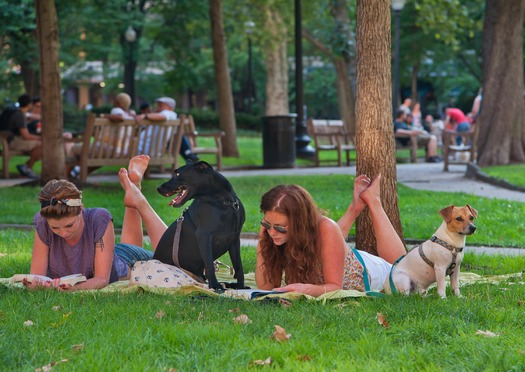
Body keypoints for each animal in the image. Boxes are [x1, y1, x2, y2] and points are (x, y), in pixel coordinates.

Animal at [154, 160, 246, 290]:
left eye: (177, 174)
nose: (158, 188)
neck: (223, 202)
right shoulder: (204, 236)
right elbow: (210, 265)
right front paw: (215, 286)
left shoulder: (235, 239)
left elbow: (238, 266)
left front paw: (240, 286)